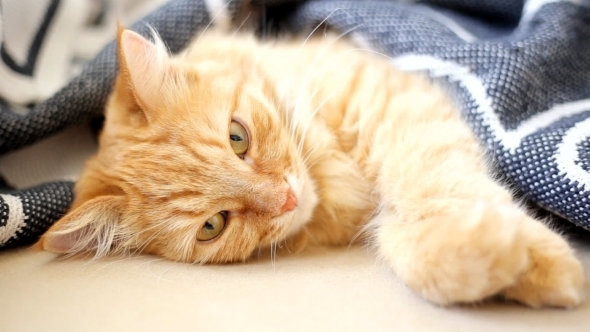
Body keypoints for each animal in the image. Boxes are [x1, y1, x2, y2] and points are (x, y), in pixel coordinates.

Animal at [39, 27, 584, 308]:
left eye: (237, 137)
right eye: (213, 226)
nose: (287, 198)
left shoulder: (399, 112)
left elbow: (434, 186)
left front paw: (542, 264)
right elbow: (406, 243)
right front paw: (490, 252)